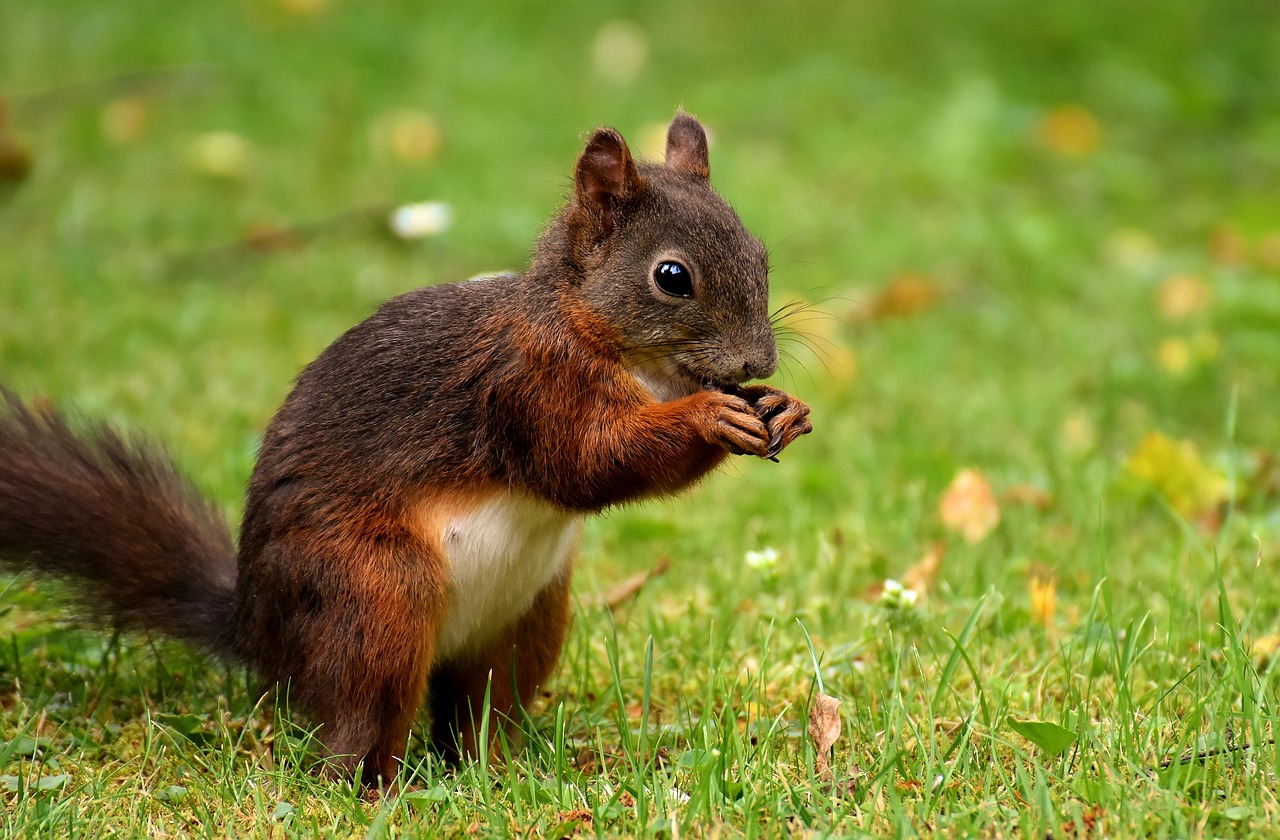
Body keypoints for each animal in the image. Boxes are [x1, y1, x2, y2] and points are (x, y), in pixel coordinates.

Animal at [0, 111, 814, 788]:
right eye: (671, 277)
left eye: (761, 252)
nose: (759, 361)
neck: (623, 354)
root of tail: (262, 634)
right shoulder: (527, 388)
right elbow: (589, 462)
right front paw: (711, 417)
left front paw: (784, 408)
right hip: (374, 598)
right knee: (358, 727)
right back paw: (382, 791)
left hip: (529, 618)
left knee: (481, 711)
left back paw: (503, 775)